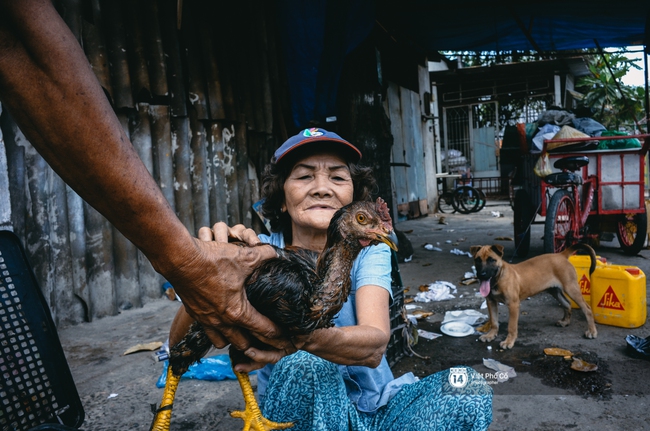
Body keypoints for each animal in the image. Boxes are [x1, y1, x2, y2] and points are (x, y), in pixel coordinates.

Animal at [468, 245, 596, 350]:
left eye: (491, 260)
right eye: (477, 260)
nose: (481, 275)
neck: (498, 279)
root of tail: (561, 255)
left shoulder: (513, 305)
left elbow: (511, 326)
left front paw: (509, 341)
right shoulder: (491, 302)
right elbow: (494, 321)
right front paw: (491, 335)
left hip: (571, 288)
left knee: (587, 309)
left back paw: (592, 331)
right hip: (554, 290)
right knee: (567, 303)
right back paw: (565, 322)